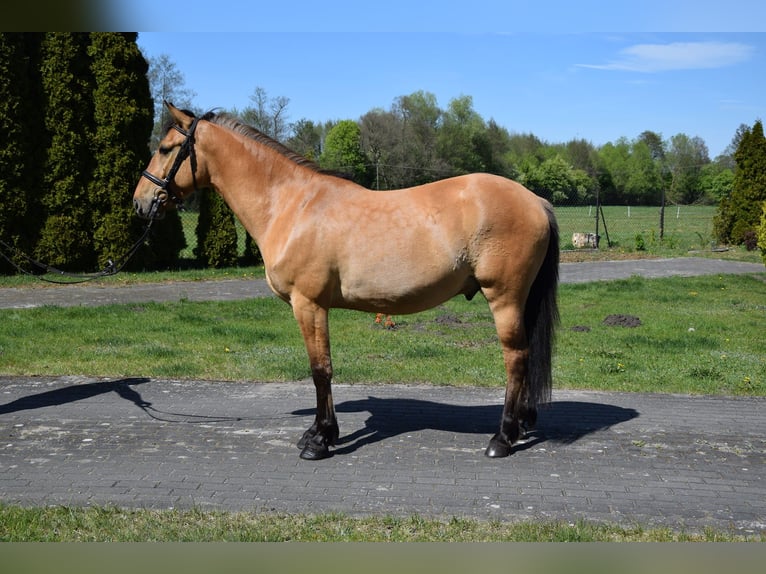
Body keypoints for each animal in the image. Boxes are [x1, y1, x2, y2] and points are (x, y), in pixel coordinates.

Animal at [134, 102, 559, 461]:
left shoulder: (308, 304)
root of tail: (536, 201)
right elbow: (322, 369)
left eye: (167, 148)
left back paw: (502, 438)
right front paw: (319, 433)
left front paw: (319, 439)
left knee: (516, 358)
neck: (291, 205)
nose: (140, 202)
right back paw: (521, 426)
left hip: (504, 297)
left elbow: (320, 370)